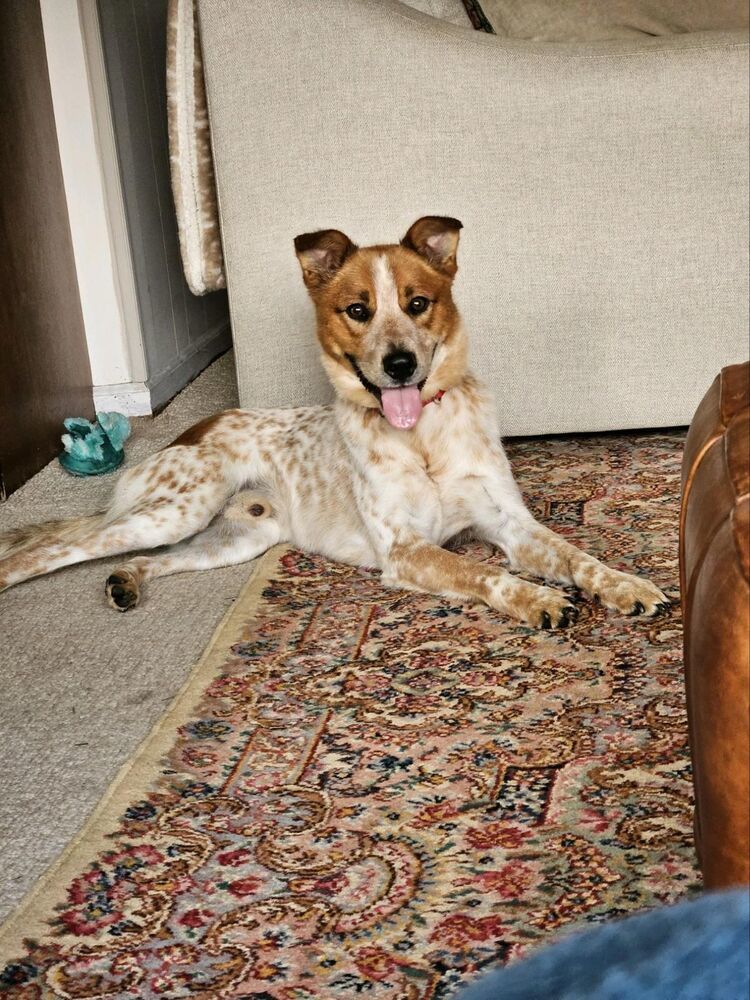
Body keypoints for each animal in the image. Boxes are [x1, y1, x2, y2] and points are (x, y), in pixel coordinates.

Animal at [0, 218, 672, 624]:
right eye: (357, 310)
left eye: (417, 303)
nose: (399, 365)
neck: (422, 437)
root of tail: (193, 429)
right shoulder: (406, 548)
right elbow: (484, 572)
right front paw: (537, 599)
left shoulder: (510, 523)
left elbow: (577, 555)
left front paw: (625, 584)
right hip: (178, 506)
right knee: (50, 549)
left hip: (234, 537)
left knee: (154, 558)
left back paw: (127, 582)